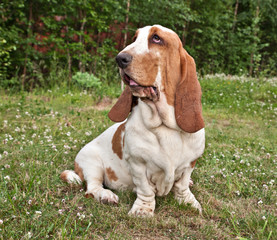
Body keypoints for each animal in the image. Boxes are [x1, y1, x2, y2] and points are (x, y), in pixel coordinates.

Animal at [60, 24, 204, 218]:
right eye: (135, 38)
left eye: (157, 38)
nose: (120, 59)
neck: (163, 125)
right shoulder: (138, 165)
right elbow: (145, 190)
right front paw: (142, 210)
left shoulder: (190, 164)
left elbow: (181, 185)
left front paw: (188, 202)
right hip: (92, 163)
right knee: (92, 188)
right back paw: (106, 195)